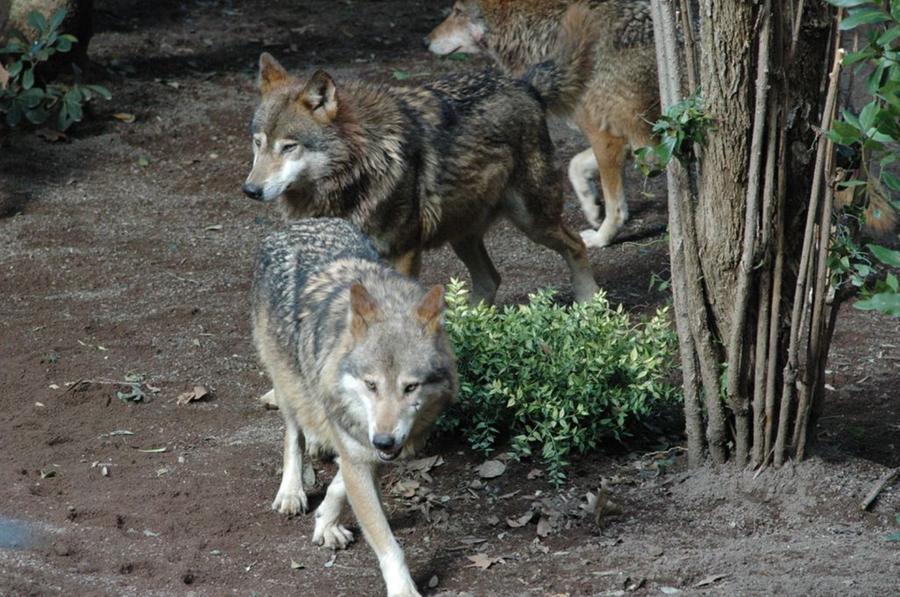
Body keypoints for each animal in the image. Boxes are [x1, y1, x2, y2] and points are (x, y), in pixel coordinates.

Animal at [243, 4, 600, 304]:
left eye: (289, 146)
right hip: (463, 232)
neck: (356, 170)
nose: (250, 190)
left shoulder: (404, 252)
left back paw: (588, 304)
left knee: (576, 244)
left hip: (533, 220)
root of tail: (525, 85)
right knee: (491, 279)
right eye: (258, 143)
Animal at [251, 219, 458, 596]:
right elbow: (388, 544)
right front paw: (403, 589)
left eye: (410, 387)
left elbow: (341, 482)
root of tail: (301, 223)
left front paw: (325, 521)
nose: (385, 441)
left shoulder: (369, 450)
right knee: (293, 434)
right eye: (371, 385)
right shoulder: (360, 446)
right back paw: (291, 490)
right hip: (287, 383)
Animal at [426, 0, 656, 247]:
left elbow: (615, 206)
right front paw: (592, 208)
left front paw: (601, 238)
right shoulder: (630, 143)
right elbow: (575, 165)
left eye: (458, 12)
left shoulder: (608, 138)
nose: (425, 41)